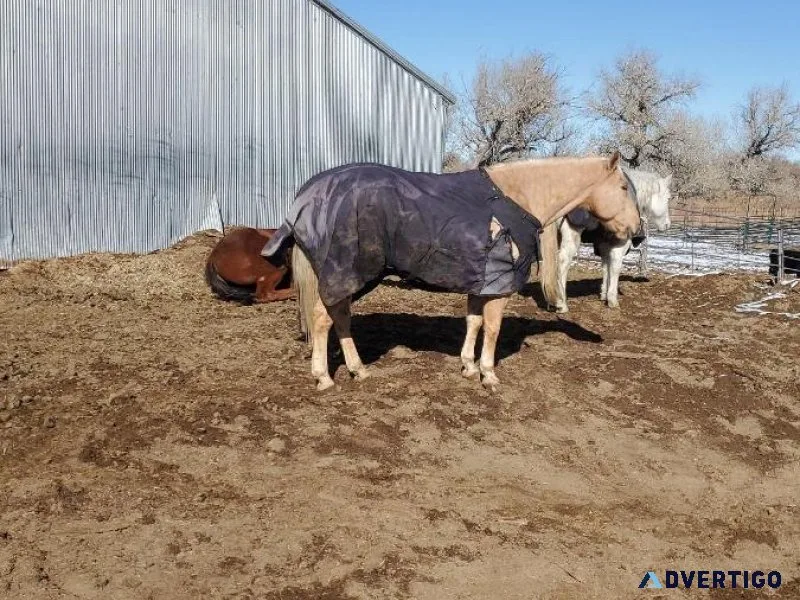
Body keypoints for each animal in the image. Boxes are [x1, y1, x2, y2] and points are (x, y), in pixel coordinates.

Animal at [261, 152, 641, 391]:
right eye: (624, 188)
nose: (637, 232)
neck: (517, 199)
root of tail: (309, 192)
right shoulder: (498, 287)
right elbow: (492, 328)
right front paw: (488, 374)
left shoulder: (481, 283)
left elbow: (473, 322)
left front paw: (468, 366)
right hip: (346, 273)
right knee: (322, 319)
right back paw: (324, 378)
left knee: (339, 318)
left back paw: (358, 369)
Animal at [542, 170, 672, 312]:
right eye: (668, 198)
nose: (667, 224)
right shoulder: (619, 245)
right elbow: (615, 268)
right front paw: (612, 300)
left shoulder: (604, 245)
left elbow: (605, 267)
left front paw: (604, 294)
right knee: (563, 262)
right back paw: (562, 304)